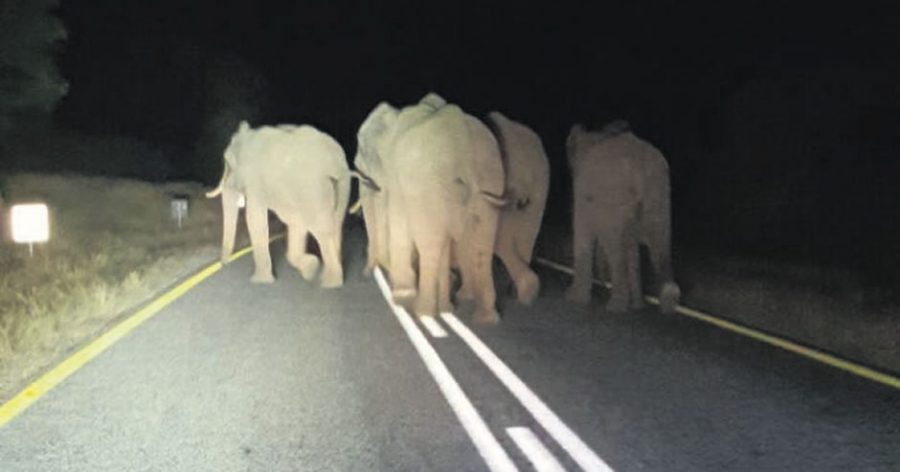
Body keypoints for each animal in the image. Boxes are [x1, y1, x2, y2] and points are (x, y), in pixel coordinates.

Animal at [206, 121, 351, 287]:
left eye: (228, 165)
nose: (223, 264)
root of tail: (336, 162)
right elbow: (295, 222)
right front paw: (311, 268)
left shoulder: (256, 180)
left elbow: (255, 219)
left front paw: (259, 281)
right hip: (340, 186)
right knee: (336, 224)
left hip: (314, 188)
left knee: (322, 230)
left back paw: (330, 283)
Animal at [352, 93, 507, 323]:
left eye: (364, 156)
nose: (366, 274)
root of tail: (465, 146)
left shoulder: (396, 177)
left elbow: (398, 222)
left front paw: (402, 294)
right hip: (490, 180)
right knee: (480, 245)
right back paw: (483, 318)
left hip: (430, 186)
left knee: (431, 243)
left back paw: (422, 311)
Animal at [564, 120, 680, 313]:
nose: (603, 282)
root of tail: (642, 165)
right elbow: (631, 247)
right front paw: (637, 305)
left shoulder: (586, 197)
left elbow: (583, 234)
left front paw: (574, 299)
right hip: (660, 196)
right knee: (657, 246)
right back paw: (665, 304)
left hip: (618, 198)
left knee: (615, 247)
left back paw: (616, 306)